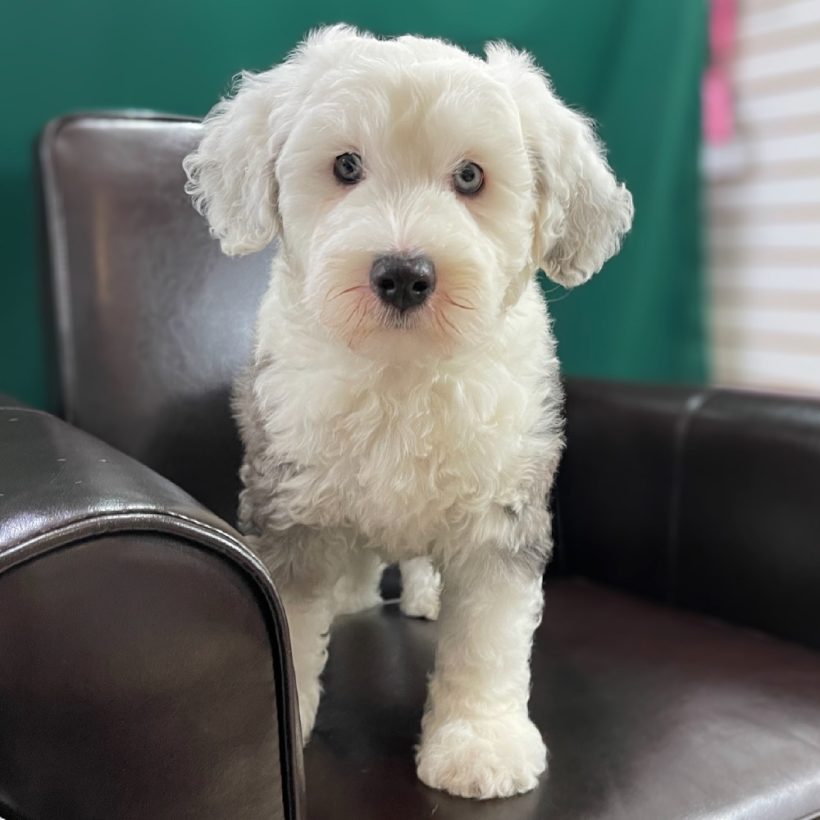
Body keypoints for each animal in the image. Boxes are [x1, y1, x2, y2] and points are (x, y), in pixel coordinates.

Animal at [184, 25, 636, 800]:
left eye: (471, 177)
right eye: (345, 165)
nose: (402, 274)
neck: (402, 371)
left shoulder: (500, 512)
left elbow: (488, 638)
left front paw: (480, 744)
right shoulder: (291, 501)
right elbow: (292, 624)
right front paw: (288, 723)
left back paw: (424, 596)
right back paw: (353, 593)